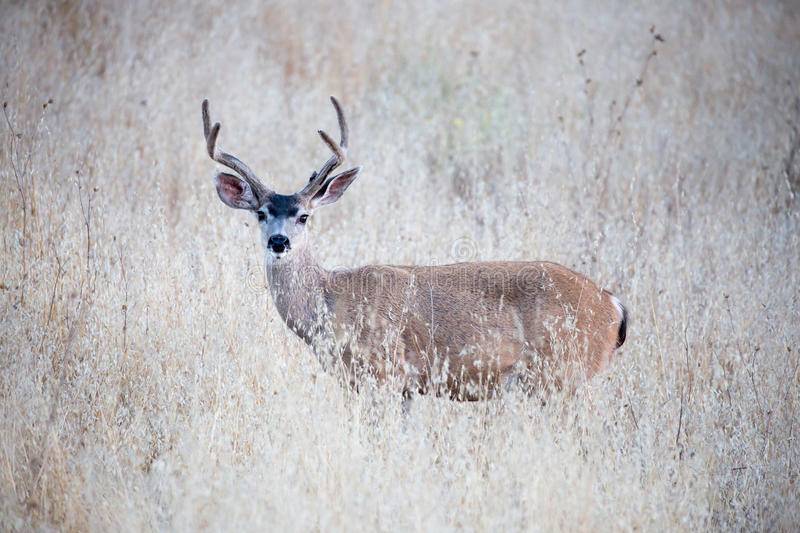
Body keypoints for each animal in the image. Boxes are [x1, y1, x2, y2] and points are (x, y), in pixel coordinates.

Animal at [203, 97, 628, 402]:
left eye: (304, 216)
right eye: (261, 213)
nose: (279, 241)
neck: (330, 302)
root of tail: (612, 304)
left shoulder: (383, 373)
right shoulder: (403, 387)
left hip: (563, 373)